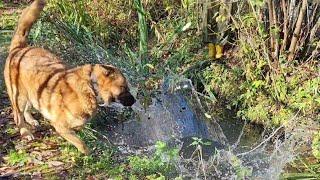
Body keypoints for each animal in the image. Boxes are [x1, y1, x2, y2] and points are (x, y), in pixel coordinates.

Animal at [4, 0, 136, 155]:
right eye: (124, 87)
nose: (134, 101)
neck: (91, 86)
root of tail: (19, 49)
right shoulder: (60, 125)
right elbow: (80, 142)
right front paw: (87, 152)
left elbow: (78, 129)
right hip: (18, 96)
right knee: (17, 116)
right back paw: (25, 132)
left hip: (32, 93)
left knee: (27, 109)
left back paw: (31, 120)